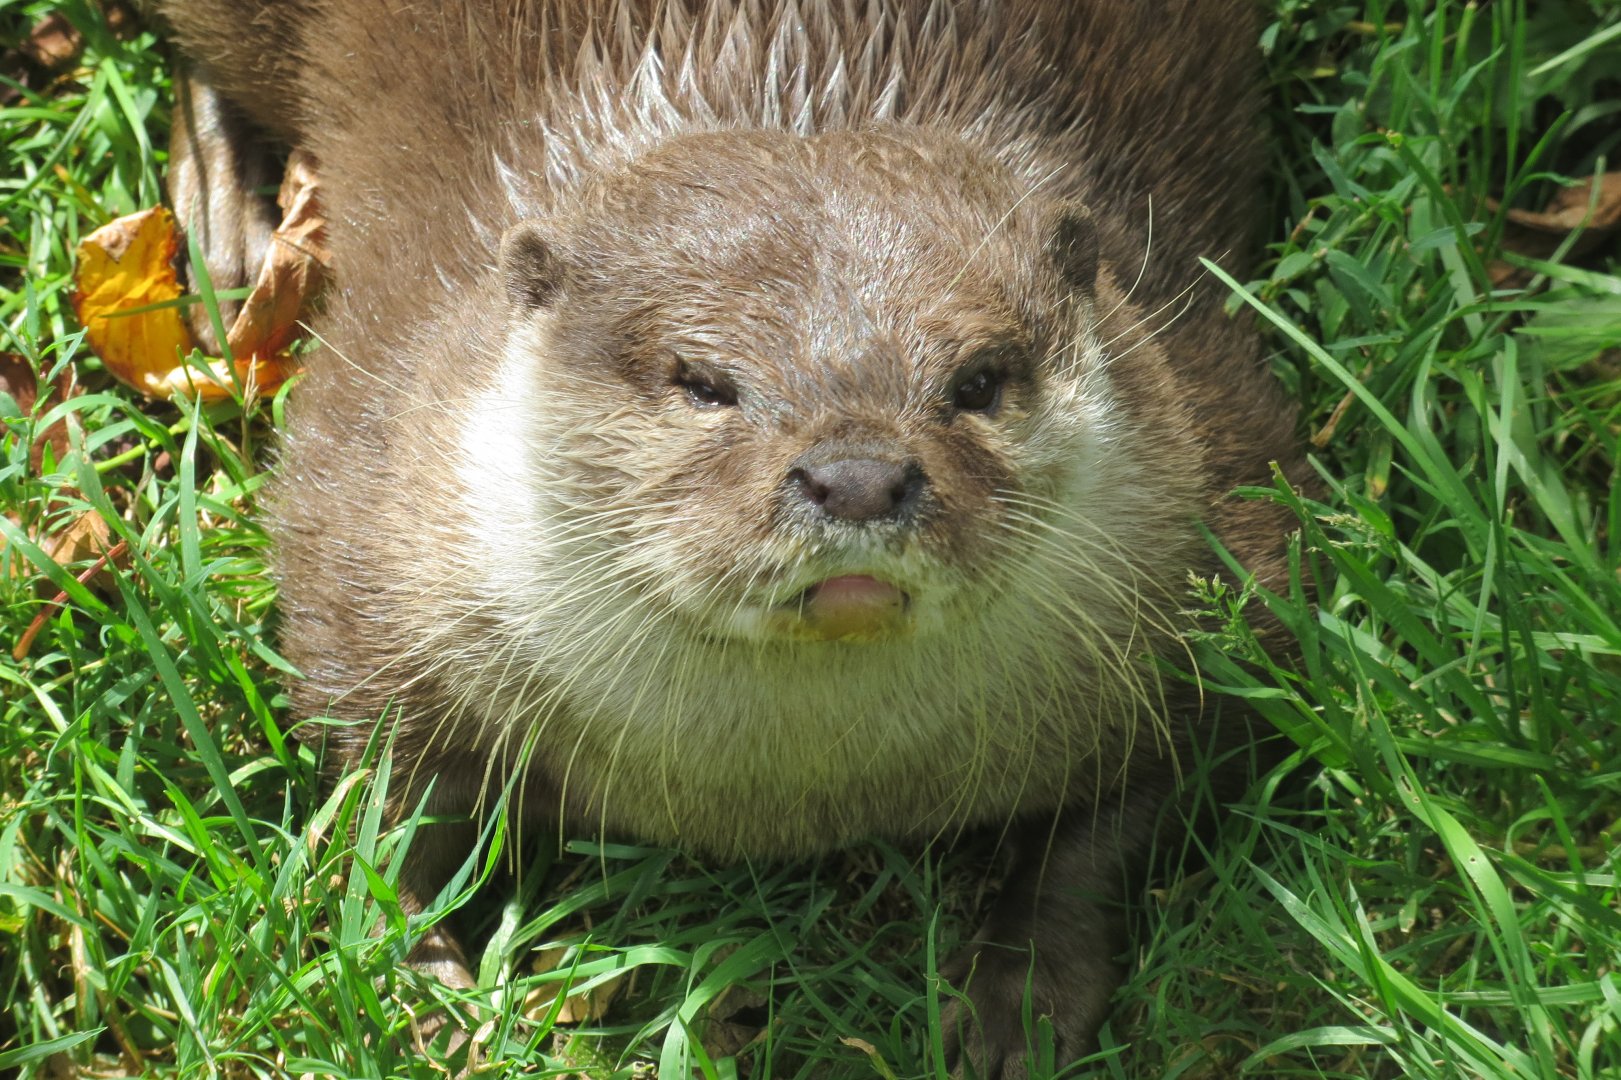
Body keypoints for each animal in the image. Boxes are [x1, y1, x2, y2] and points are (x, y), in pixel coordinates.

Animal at [157, 0, 1304, 1072]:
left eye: (978, 380)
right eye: (705, 383)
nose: (857, 475)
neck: (795, 792)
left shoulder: (1216, 540)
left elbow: (1134, 809)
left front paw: (1017, 995)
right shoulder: (366, 525)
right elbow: (381, 787)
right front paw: (415, 979)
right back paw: (228, 244)